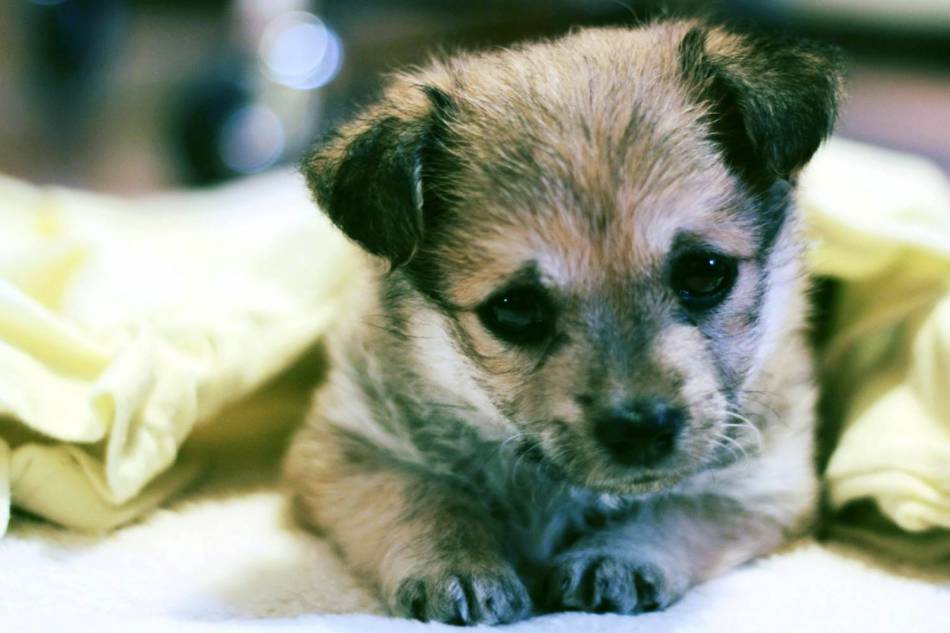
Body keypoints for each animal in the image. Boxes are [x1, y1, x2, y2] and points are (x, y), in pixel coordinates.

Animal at [286, 18, 844, 624]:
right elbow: (418, 496)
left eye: (705, 273)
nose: (641, 428)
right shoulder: (345, 450)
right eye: (515, 309)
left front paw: (618, 556)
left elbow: (684, 507)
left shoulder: (770, 485)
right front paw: (458, 564)